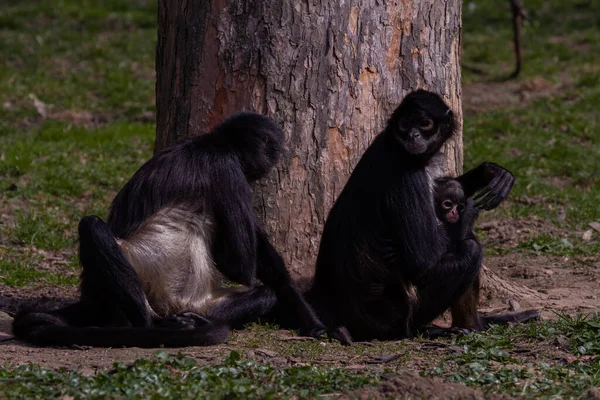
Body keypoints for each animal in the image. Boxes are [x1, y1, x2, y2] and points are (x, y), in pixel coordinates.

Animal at [12, 111, 324, 346]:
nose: (278, 157)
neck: (210, 143)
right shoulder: (227, 169)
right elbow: (238, 266)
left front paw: (311, 321)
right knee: (92, 225)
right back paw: (154, 324)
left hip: (202, 303)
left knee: (264, 295)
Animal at [302, 90, 540, 344]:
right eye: (405, 124)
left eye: (424, 123)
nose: (413, 135)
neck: (395, 146)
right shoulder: (406, 171)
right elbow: (423, 259)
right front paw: (471, 207)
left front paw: (488, 171)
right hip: (398, 317)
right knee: (470, 248)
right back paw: (437, 328)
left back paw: (476, 324)